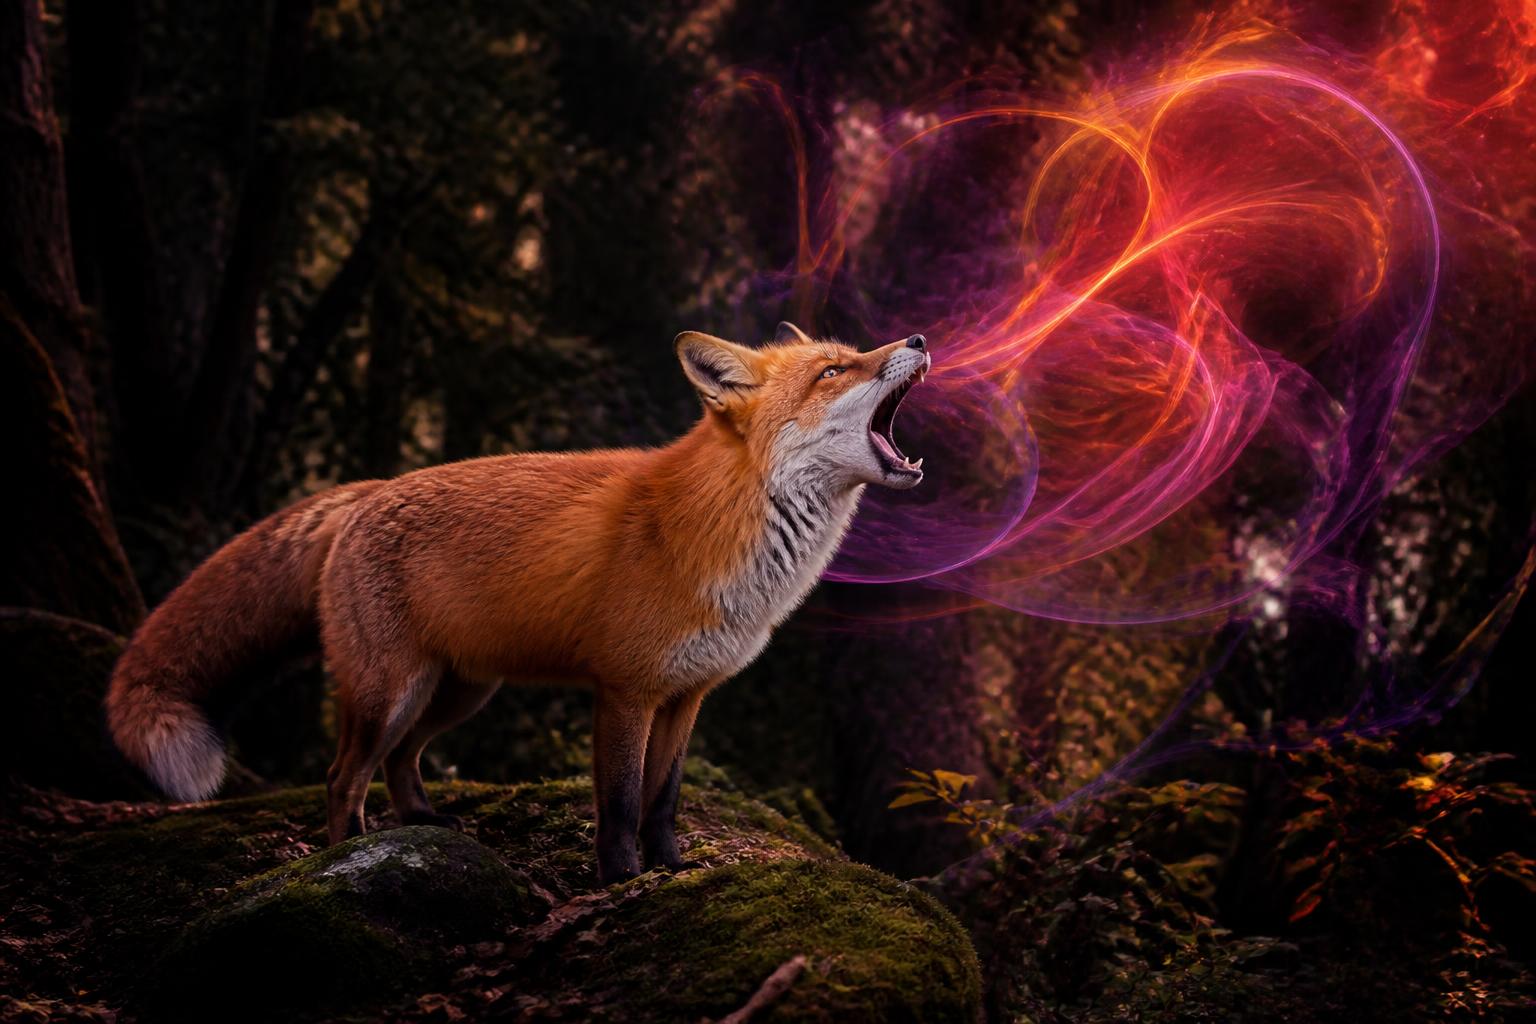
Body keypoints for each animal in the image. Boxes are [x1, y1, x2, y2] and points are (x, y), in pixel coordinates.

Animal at [106, 322, 930, 883]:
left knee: (403, 760)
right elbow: (620, 802)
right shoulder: (624, 690)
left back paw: (422, 823)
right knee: (343, 775)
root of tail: (368, 491)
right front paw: (620, 879)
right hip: (388, 690)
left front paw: (670, 870)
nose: (920, 337)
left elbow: (663, 799)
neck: (717, 531)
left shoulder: (686, 695)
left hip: (459, 691)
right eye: (834, 369)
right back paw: (347, 853)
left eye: (850, 354)